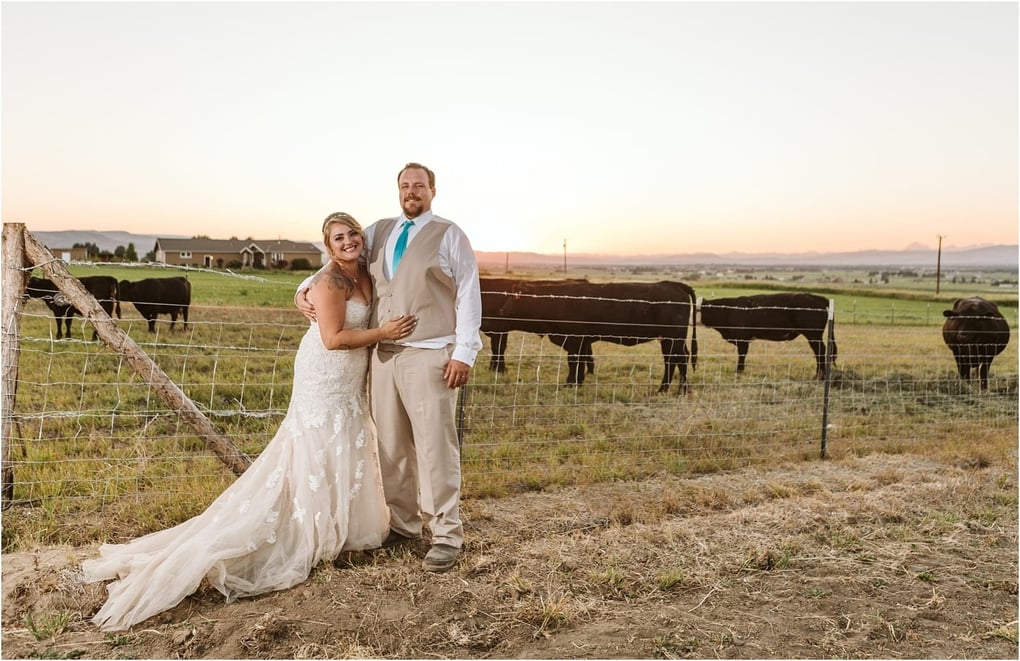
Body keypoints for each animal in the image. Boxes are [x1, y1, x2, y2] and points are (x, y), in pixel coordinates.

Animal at [493, 280, 698, 393]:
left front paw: (570, 384)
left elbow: (574, 362)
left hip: (673, 338)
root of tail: (671, 284)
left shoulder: (574, 339)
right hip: (669, 340)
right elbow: (582, 361)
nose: (501, 311)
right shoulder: (582, 341)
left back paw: (677, 390)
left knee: (678, 359)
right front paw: (578, 382)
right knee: (674, 361)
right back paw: (672, 389)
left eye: (515, 297)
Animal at [698, 293, 836, 380]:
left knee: (820, 351)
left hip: (813, 335)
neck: (728, 310)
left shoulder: (743, 339)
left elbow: (742, 355)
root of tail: (816, 297)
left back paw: (819, 376)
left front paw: (739, 372)